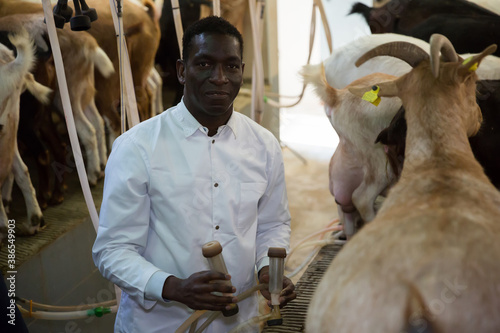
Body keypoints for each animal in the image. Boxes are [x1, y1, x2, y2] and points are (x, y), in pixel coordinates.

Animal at [304, 34, 500, 332]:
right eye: (471, 84)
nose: (479, 117)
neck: (439, 159)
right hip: (375, 162)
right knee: (362, 197)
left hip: (347, 157)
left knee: (342, 200)